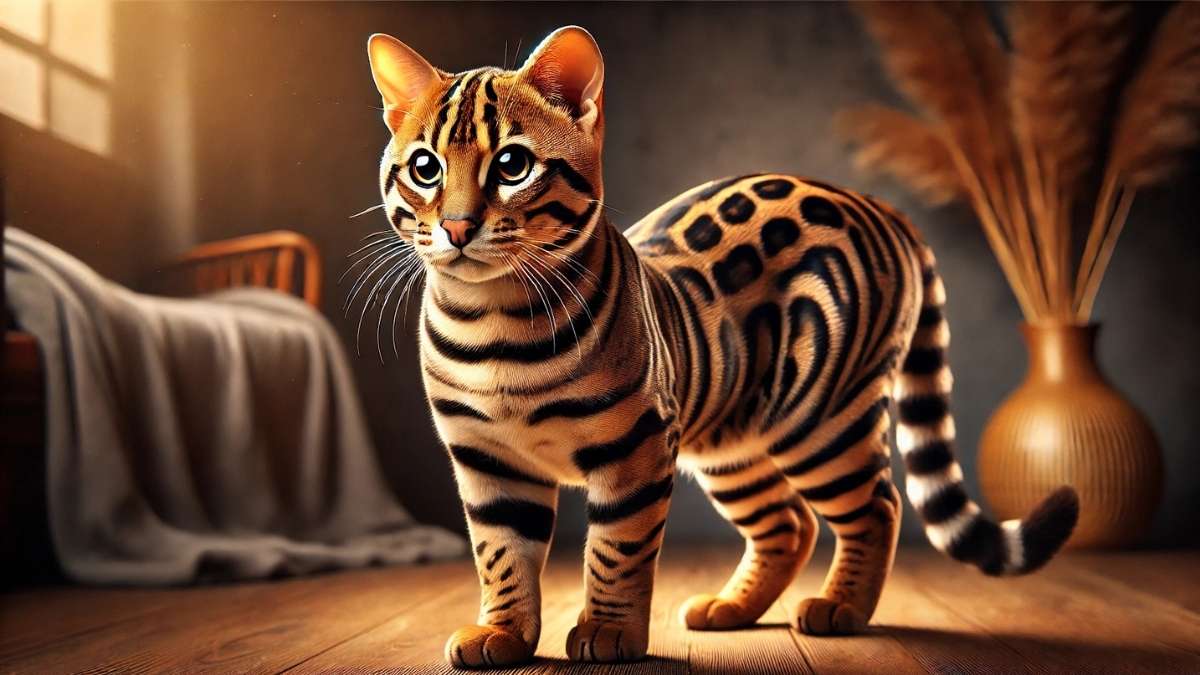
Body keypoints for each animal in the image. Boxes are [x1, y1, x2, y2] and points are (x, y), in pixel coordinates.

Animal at [364, 25, 1079, 668]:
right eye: (424, 169)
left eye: (512, 165)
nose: (457, 227)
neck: (493, 318)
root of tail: (874, 199)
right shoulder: (486, 459)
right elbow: (500, 556)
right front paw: (503, 634)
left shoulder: (636, 447)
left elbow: (616, 547)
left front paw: (609, 633)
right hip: (732, 444)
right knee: (789, 523)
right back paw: (731, 608)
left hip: (823, 418)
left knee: (878, 505)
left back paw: (841, 608)